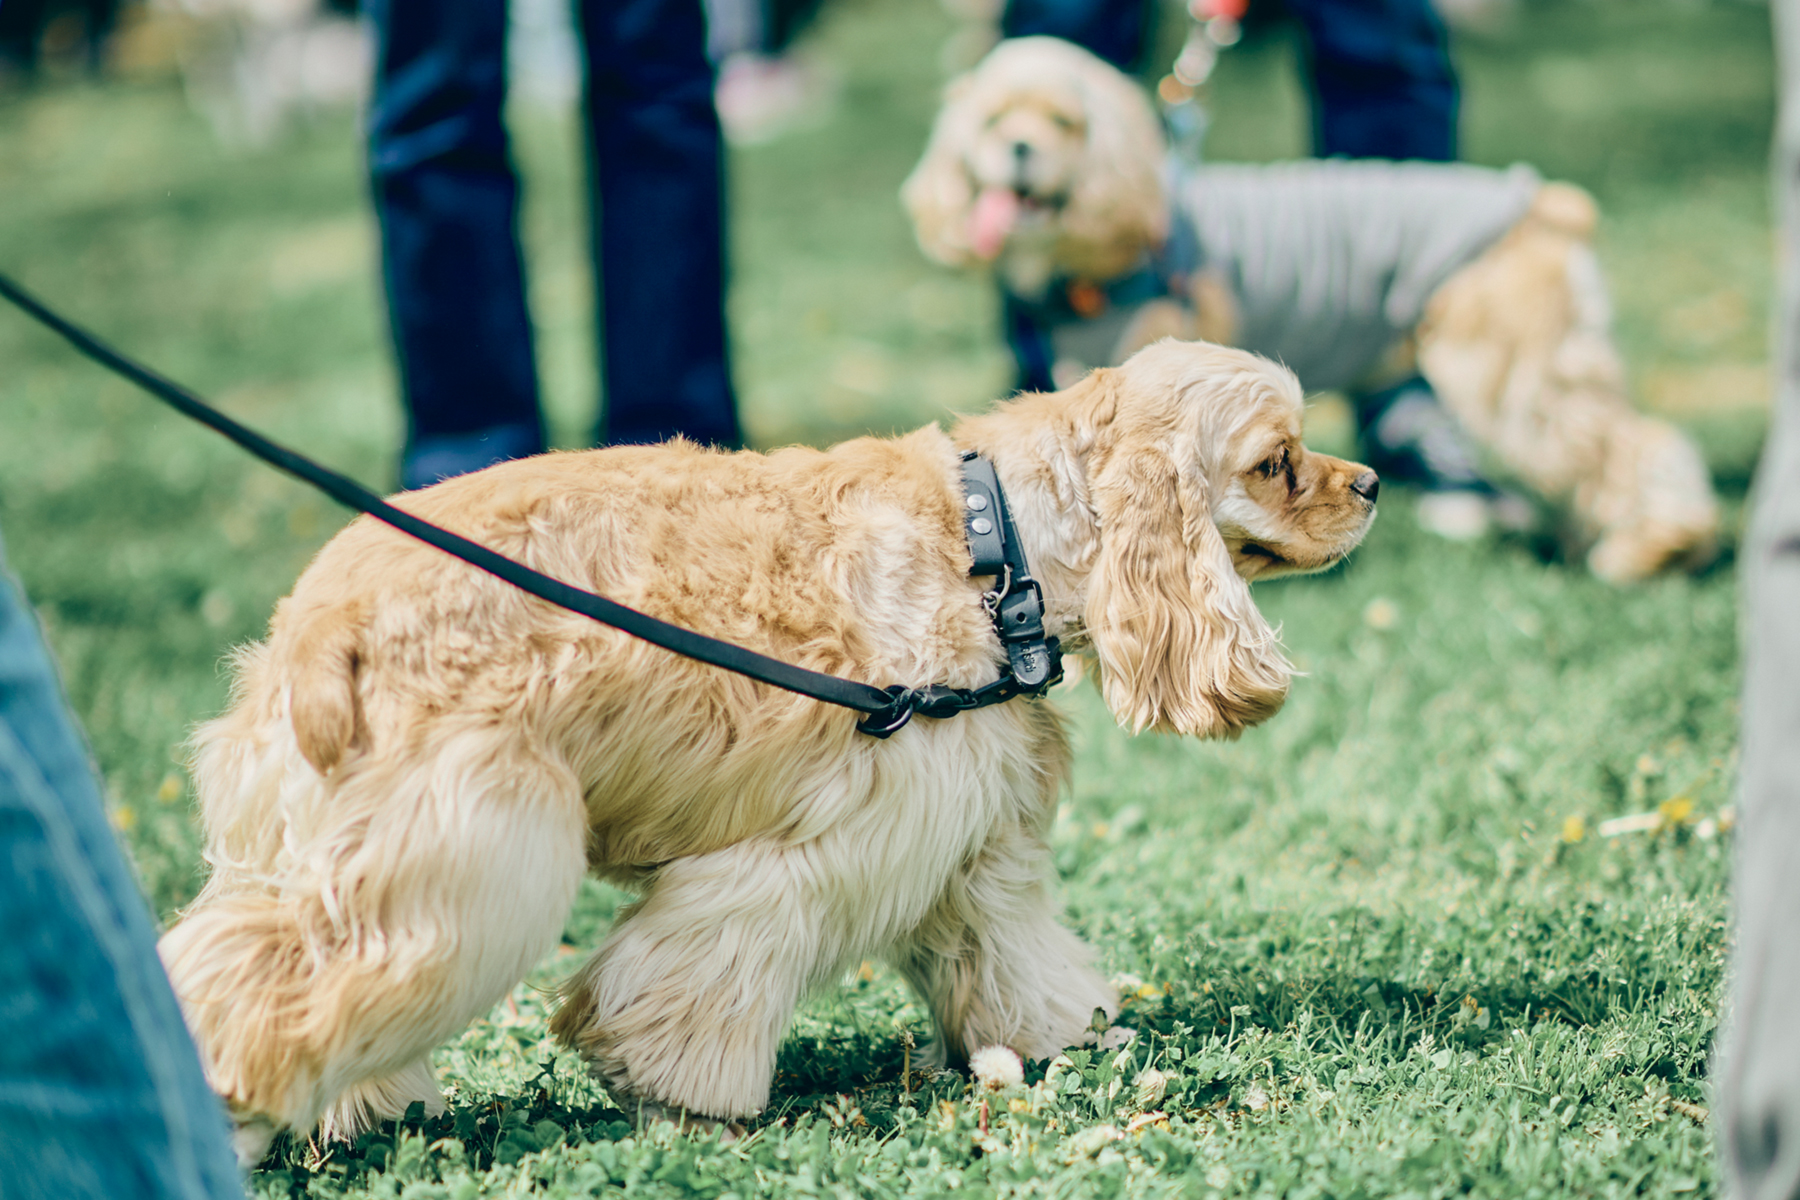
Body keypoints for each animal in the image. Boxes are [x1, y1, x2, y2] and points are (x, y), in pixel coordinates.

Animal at [165, 340, 1375, 1165]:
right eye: (1276, 462)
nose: (1369, 483)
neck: (999, 541)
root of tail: (322, 620)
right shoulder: (812, 849)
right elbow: (695, 983)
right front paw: (683, 1099)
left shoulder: (971, 834)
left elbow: (1010, 950)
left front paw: (1063, 1040)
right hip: (464, 848)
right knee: (271, 983)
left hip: (309, 838)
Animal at [907, 37, 1720, 582]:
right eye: (994, 122)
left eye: (1063, 123)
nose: (1017, 148)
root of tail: (1543, 201)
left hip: (1510, 366)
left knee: (1632, 443)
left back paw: (1657, 545)